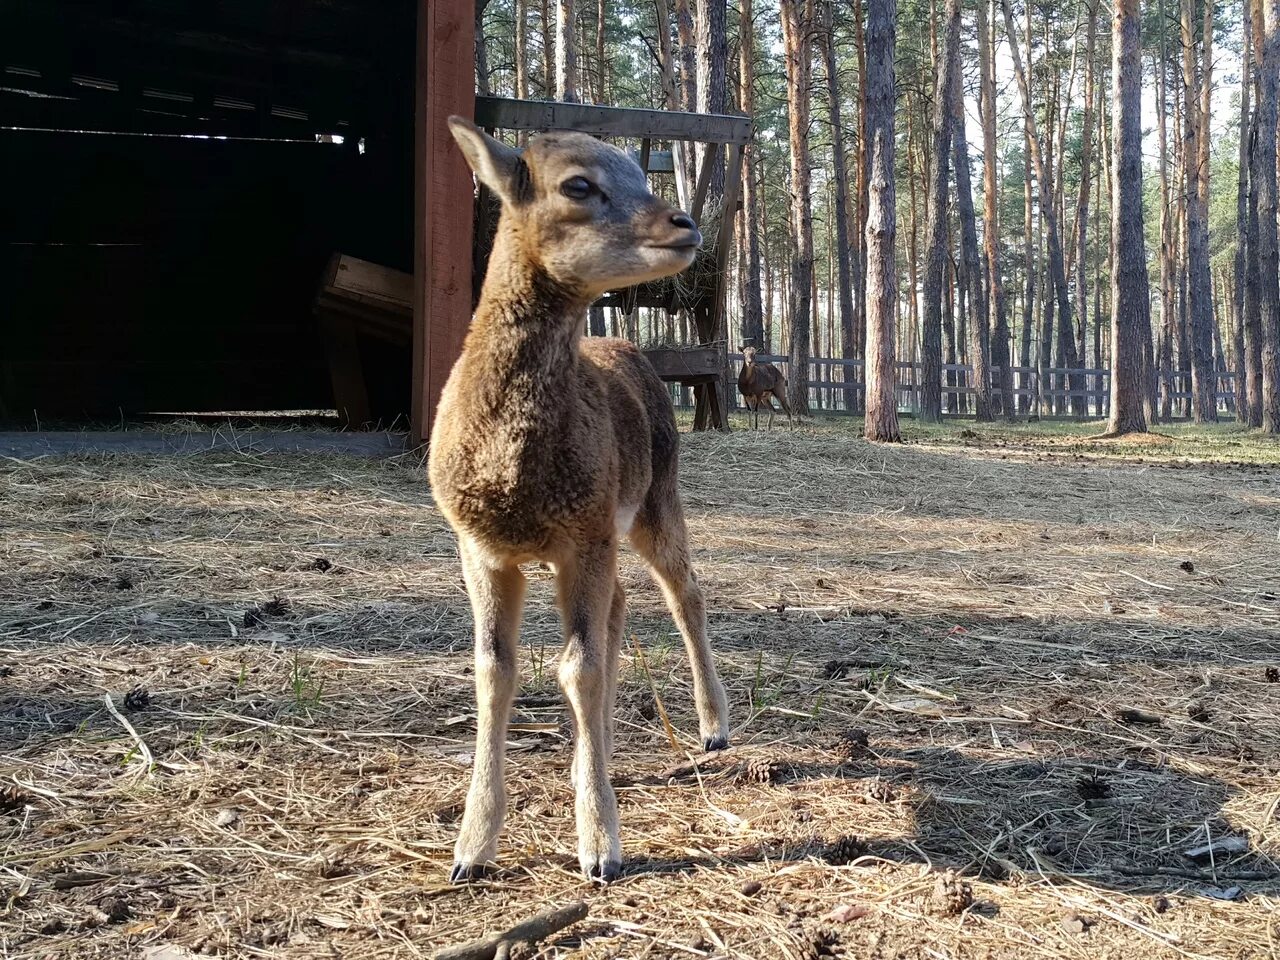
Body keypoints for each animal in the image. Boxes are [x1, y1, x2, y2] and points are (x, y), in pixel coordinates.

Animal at [430, 118, 732, 885]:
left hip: (655, 500)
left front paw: (600, 847)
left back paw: (713, 727)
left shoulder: (583, 534)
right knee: (621, 608)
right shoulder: (479, 548)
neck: (515, 480)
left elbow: (579, 668)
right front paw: (471, 849)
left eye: (642, 172)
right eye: (578, 184)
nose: (684, 225)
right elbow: (495, 670)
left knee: (685, 592)